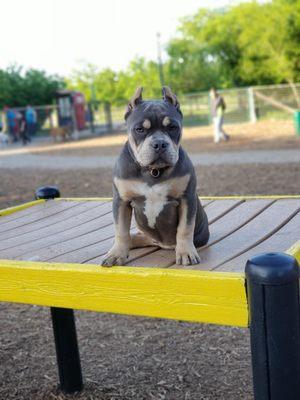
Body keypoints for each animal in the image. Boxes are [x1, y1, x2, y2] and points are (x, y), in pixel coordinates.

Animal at [101, 86, 209, 268]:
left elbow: (185, 228)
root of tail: (162, 244)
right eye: (140, 129)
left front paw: (186, 252)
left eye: (172, 127)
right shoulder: (121, 201)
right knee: (131, 237)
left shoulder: (186, 198)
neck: (153, 171)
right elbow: (121, 230)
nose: (159, 144)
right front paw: (117, 254)